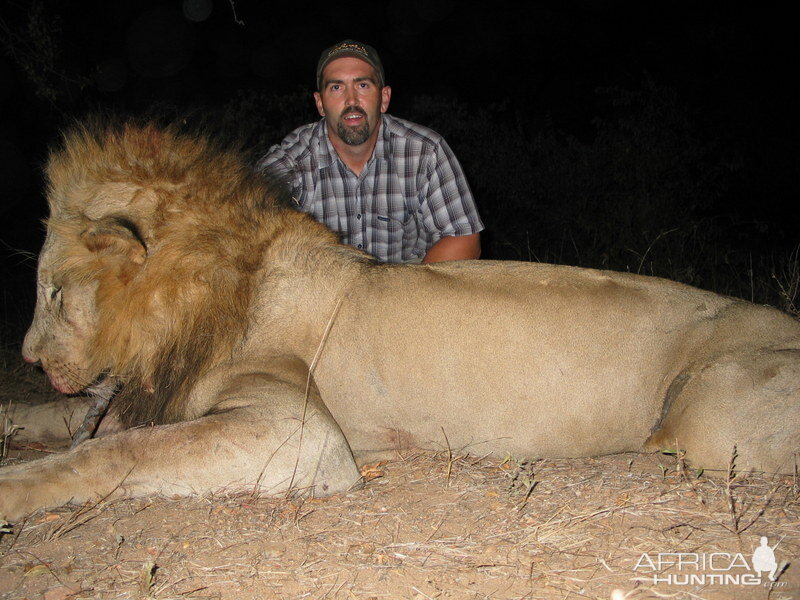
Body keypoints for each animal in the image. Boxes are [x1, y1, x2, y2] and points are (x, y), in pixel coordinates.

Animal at [1, 118, 800, 520]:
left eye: (54, 294)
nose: (31, 357)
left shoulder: (304, 433)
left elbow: (114, 451)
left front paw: (14, 489)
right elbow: (52, 420)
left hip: (705, 420)